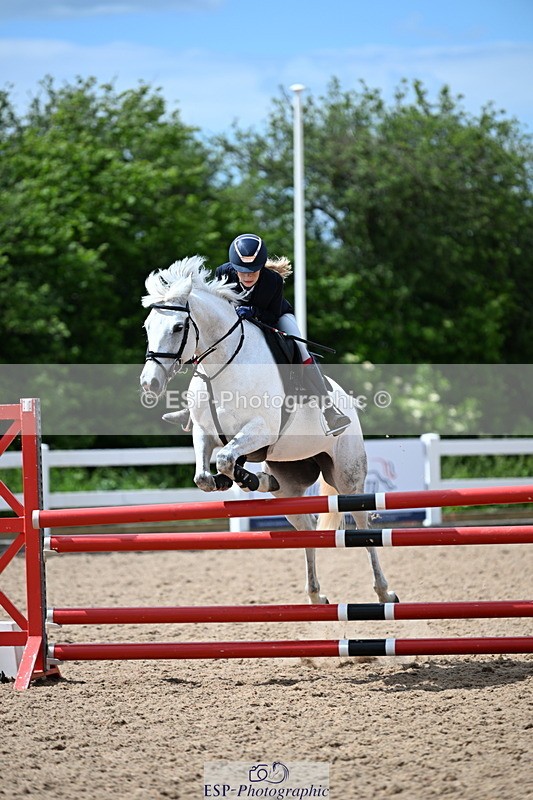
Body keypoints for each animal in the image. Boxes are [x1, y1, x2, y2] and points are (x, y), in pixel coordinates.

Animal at [140, 255, 398, 606]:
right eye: (147, 327)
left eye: (178, 327)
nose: (149, 383)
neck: (221, 365)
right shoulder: (205, 432)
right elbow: (204, 476)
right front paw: (234, 480)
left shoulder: (260, 430)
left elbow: (225, 459)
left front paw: (242, 478)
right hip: (290, 483)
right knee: (306, 527)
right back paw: (315, 594)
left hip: (348, 477)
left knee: (362, 526)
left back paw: (384, 592)